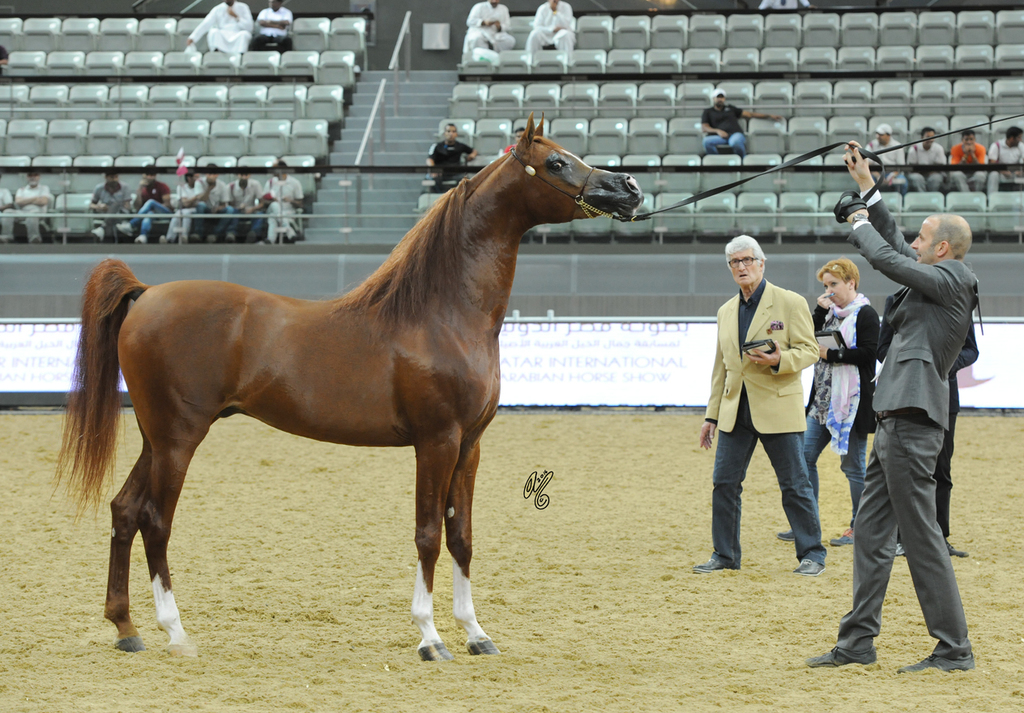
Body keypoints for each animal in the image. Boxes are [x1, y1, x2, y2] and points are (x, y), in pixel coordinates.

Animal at [56, 114, 644, 661]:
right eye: (556, 163)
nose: (629, 187)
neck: (442, 314)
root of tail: (146, 293)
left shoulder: (470, 446)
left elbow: (461, 537)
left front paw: (477, 633)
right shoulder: (437, 441)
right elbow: (428, 534)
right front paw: (430, 637)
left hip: (156, 438)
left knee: (125, 511)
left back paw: (126, 628)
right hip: (179, 438)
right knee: (155, 521)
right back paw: (176, 634)